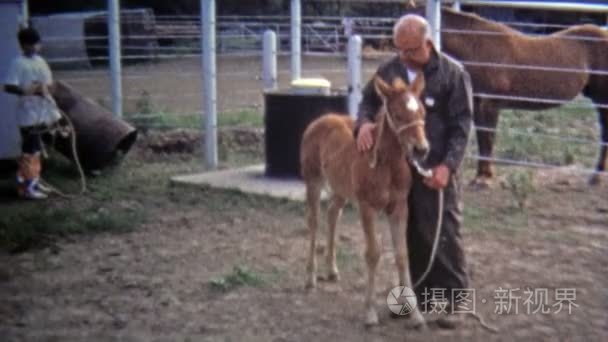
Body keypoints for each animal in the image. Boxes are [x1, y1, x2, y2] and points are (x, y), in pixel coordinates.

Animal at [302, 74, 430, 326]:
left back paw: (331, 269)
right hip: (313, 180)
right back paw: (310, 277)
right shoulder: (367, 207)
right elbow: (373, 253)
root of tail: (321, 119)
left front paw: (415, 314)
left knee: (333, 214)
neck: (386, 165)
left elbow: (402, 255)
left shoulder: (399, 207)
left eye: (422, 111)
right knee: (314, 222)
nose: (421, 149)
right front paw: (369, 312)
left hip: (340, 187)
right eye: (398, 115)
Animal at [436, 7, 608, 184]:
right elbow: (482, 138)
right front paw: (482, 174)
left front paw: (484, 177)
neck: (476, 46)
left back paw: (596, 176)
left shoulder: (490, 105)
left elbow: (488, 139)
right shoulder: (478, 104)